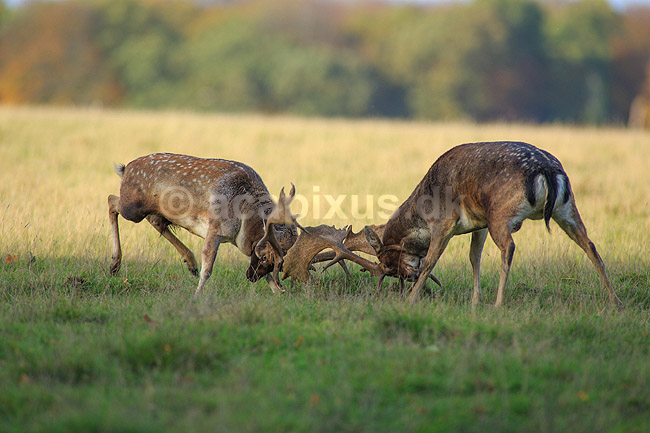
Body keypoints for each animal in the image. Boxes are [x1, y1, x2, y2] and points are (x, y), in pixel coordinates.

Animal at [107, 153, 301, 295]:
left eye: (280, 264)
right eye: (265, 256)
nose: (250, 277)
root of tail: (125, 168)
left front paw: (278, 292)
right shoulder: (215, 228)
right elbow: (208, 268)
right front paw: (197, 294)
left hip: (154, 210)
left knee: (155, 220)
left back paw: (191, 263)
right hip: (132, 208)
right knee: (112, 200)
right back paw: (114, 265)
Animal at [283, 141, 623, 308]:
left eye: (387, 262)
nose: (405, 278)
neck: (419, 213)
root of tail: (548, 171)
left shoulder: (444, 222)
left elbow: (432, 260)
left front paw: (412, 298)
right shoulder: (479, 224)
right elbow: (474, 258)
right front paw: (474, 301)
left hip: (501, 213)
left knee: (509, 248)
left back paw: (499, 304)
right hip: (567, 208)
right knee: (591, 246)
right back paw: (614, 301)